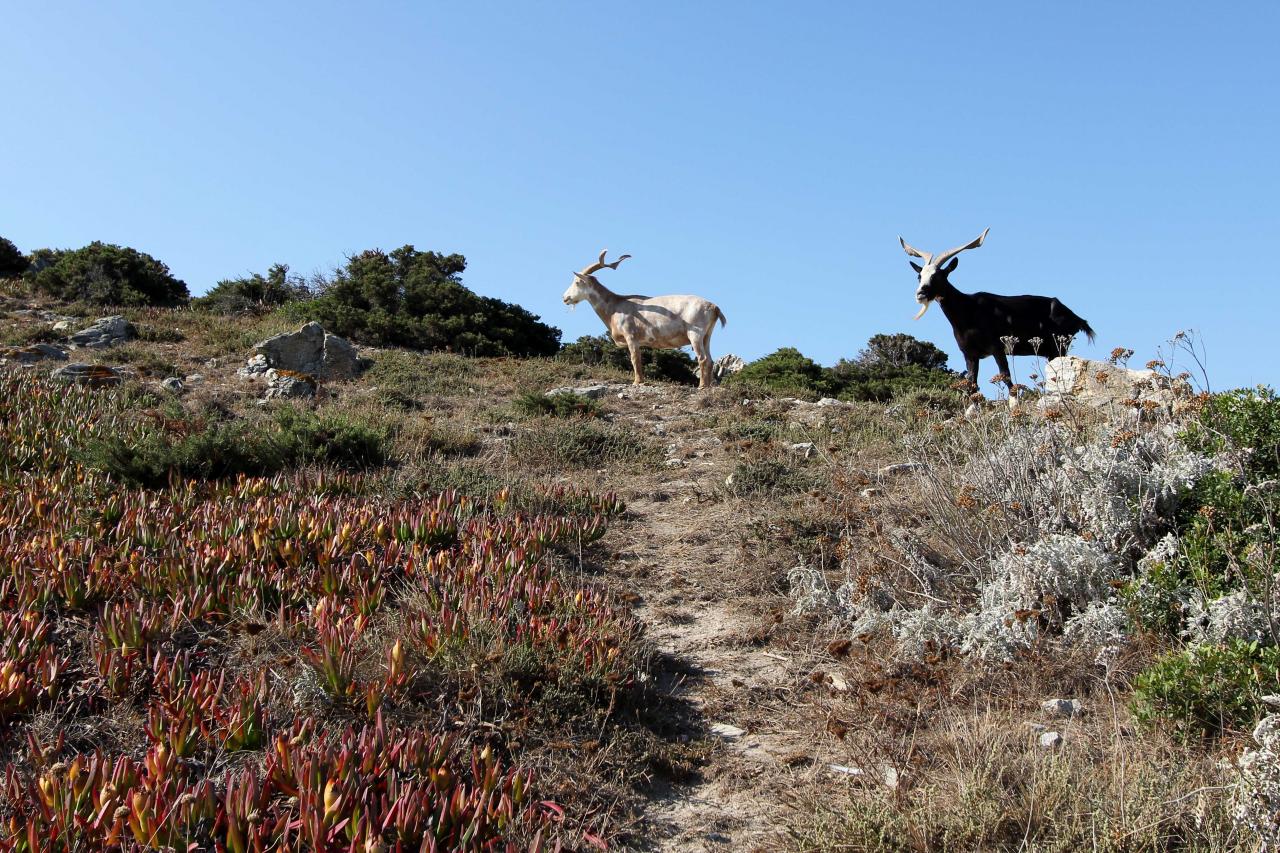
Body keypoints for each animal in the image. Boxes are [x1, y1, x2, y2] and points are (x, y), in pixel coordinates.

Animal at [563, 249, 732, 389]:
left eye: (577, 282)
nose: (565, 298)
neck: (616, 306)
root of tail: (713, 307)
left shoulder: (631, 336)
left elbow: (635, 359)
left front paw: (637, 382)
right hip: (707, 336)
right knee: (710, 360)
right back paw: (707, 385)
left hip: (695, 334)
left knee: (702, 358)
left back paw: (701, 386)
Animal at [901, 224, 1090, 386]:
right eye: (919, 276)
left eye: (938, 276)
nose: (920, 294)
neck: (968, 311)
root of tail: (1078, 319)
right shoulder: (970, 355)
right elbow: (972, 385)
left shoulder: (998, 348)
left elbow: (1006, 377)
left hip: (1060, 346)